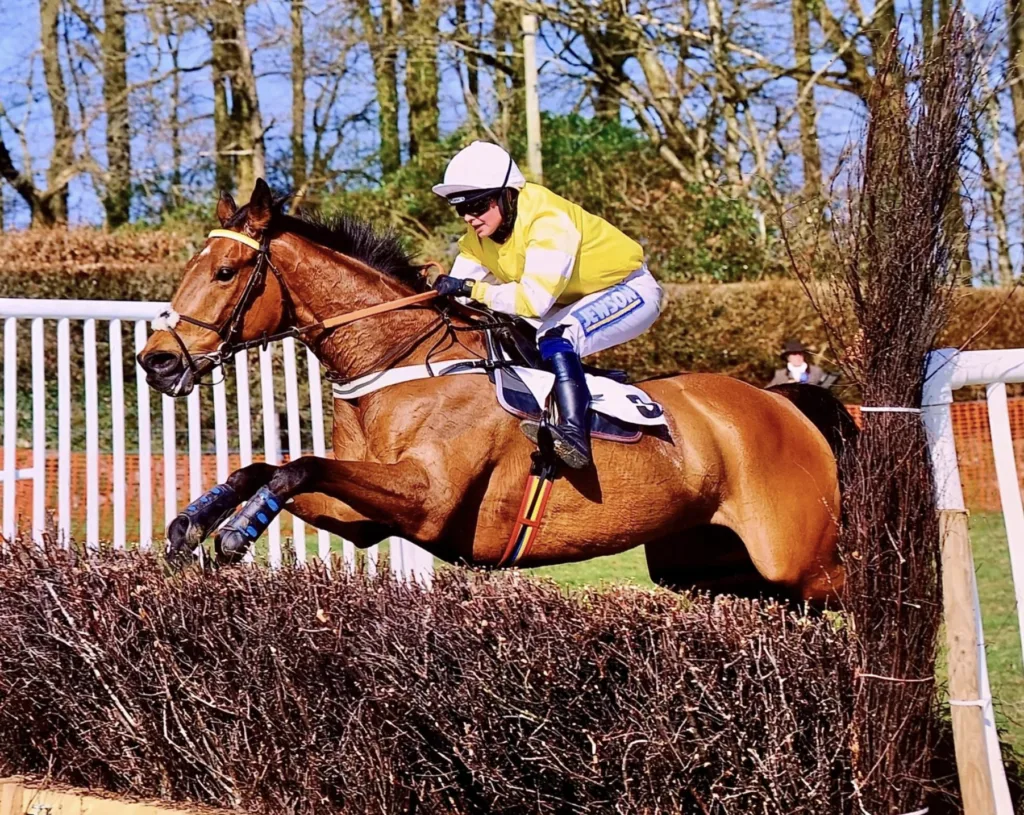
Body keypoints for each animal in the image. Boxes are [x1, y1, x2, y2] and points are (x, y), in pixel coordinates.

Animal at [138, 179, 850, 603]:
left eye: (226, 272)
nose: (157, 361)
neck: (400, 366)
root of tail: (782, 403)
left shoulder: (426, 499)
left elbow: (299, 466)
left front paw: (237, 533)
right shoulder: (367, 518)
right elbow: (269, 467)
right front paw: (196, 521)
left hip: (804, 562)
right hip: (711, 571)